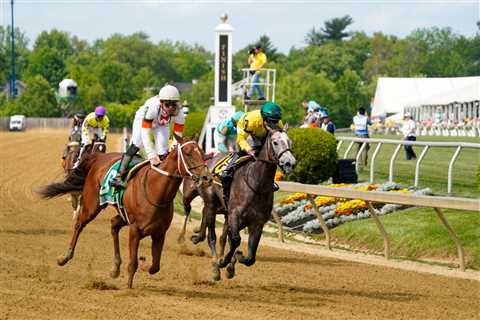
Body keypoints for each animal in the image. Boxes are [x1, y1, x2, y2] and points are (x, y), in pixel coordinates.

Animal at [40, 135, 213, 288]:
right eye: (188, 153)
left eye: (202, 152)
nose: (207, 178)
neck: (155, 190)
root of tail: (99, 158)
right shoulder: (135, 230)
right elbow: (133, 263)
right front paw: (129, 288)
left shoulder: (159, 232)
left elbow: (155, 266)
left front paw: (143, 263)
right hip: (92, 205)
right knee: (79, 224)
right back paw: (65, 257)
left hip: (122, 215)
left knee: (113, 224)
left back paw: (115, 268)